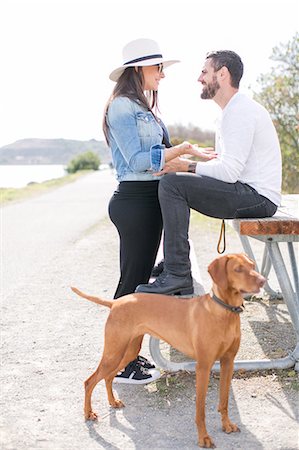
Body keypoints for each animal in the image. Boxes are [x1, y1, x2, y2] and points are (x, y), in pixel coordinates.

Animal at [71, 253, 266, 446]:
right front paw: (203, 437)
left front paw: (226, 425)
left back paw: (112, 402)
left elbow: (224, 400)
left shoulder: (228, 362)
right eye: (238, 269)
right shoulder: (203, 367)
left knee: (109, 377)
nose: (263, 281)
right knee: (89, 381)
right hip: (114, 352)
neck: (223, 312)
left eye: (252, 265)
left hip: (128, 351)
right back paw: (88, 413)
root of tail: (116, 302)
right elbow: (200, 410)